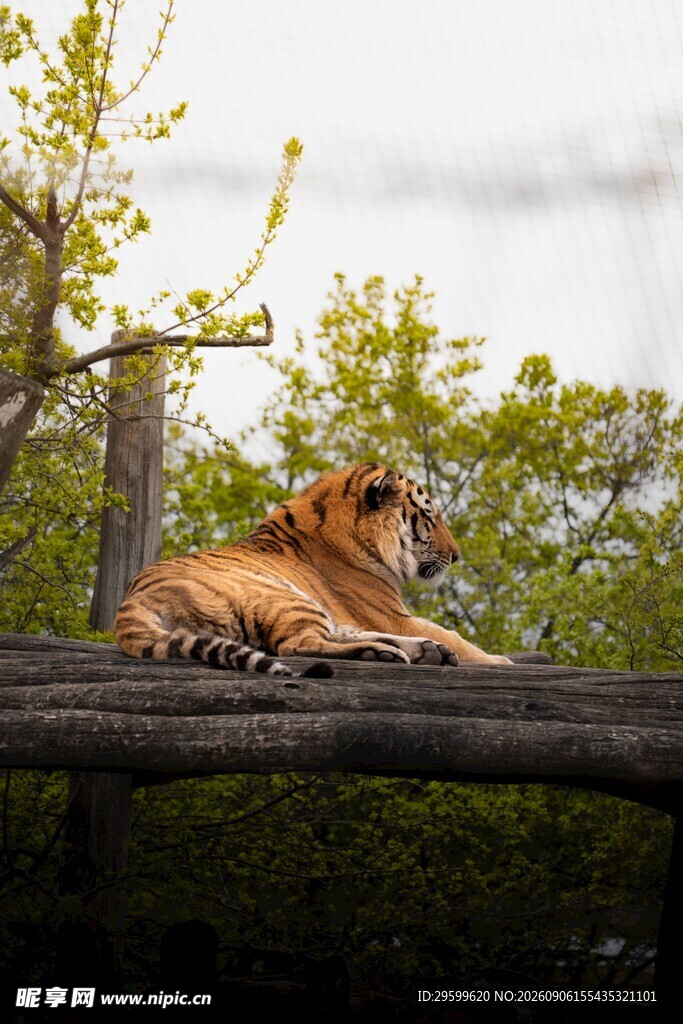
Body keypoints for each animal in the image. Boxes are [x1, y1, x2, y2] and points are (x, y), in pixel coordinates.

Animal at [114, 463, 513, 678]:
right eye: (429, 516)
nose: (457, 555)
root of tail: (128, 604)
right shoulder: (392, 614)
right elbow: (458, 638)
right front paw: (502, 661)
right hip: (286, 598)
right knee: (298, 645)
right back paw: (385, 653)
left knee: (330, 637)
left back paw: (424, 651)